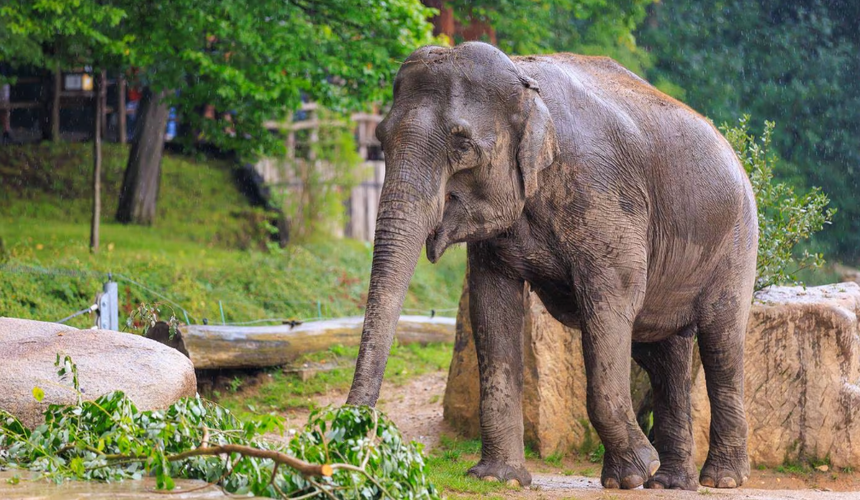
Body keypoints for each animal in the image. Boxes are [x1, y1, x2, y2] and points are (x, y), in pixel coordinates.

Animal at [346, 41, 756, 490]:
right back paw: (670, 482)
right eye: (380, 139)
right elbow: (490, 308)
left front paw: (630, 475)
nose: (352, 427)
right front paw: (501, 479)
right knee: (663, 352)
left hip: (737, 242)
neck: (523, 79)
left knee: (721, 343)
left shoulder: (604, 196)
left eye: (463, 146)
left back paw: (721, 479)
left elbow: (611, 304)